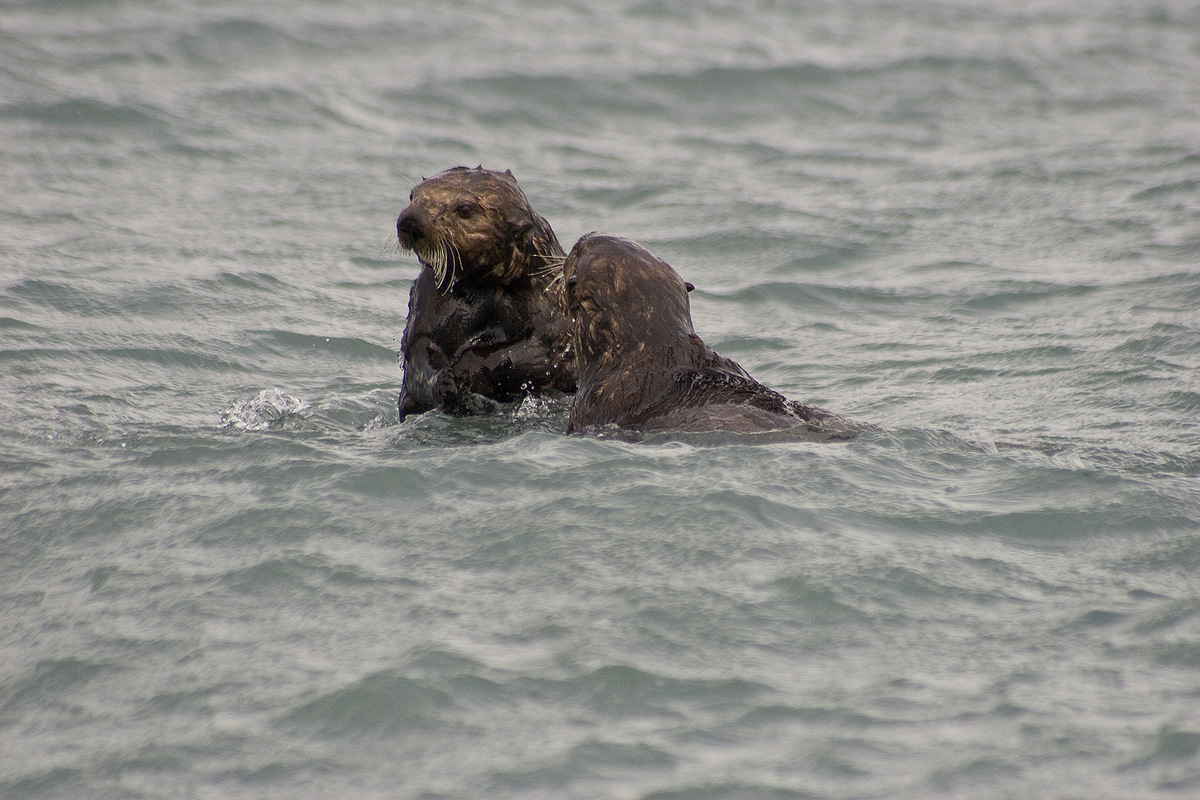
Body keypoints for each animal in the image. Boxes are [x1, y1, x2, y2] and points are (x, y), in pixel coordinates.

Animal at [395, 166, 575, 420]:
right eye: (412, 196)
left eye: (465, 209)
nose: (410, 220)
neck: (483, 286)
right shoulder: (429, 296)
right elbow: (418, 348)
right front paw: (446, 381)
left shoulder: (550, 309)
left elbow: (541, 355)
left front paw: (468, 369)